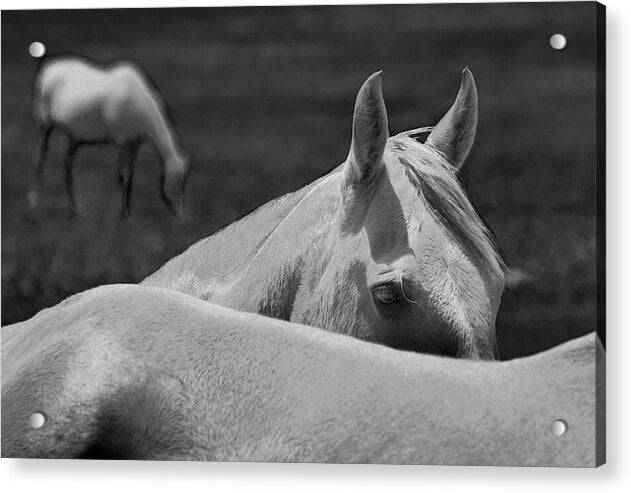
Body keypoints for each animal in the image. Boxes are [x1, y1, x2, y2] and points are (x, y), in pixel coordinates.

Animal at [31, 53, 189, 217]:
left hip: (73, 137)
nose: (180, 214)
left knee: (67, 162)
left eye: (184, 182)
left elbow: (130, 176)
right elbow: (123, 176)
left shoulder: (133, 144)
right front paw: (123, 214)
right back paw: (36, 200)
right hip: (44, 124)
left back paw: (73, 209)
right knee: (39, 157)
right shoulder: (121, 143)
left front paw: (128, 212)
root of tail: (48, 68)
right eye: (176, 182)